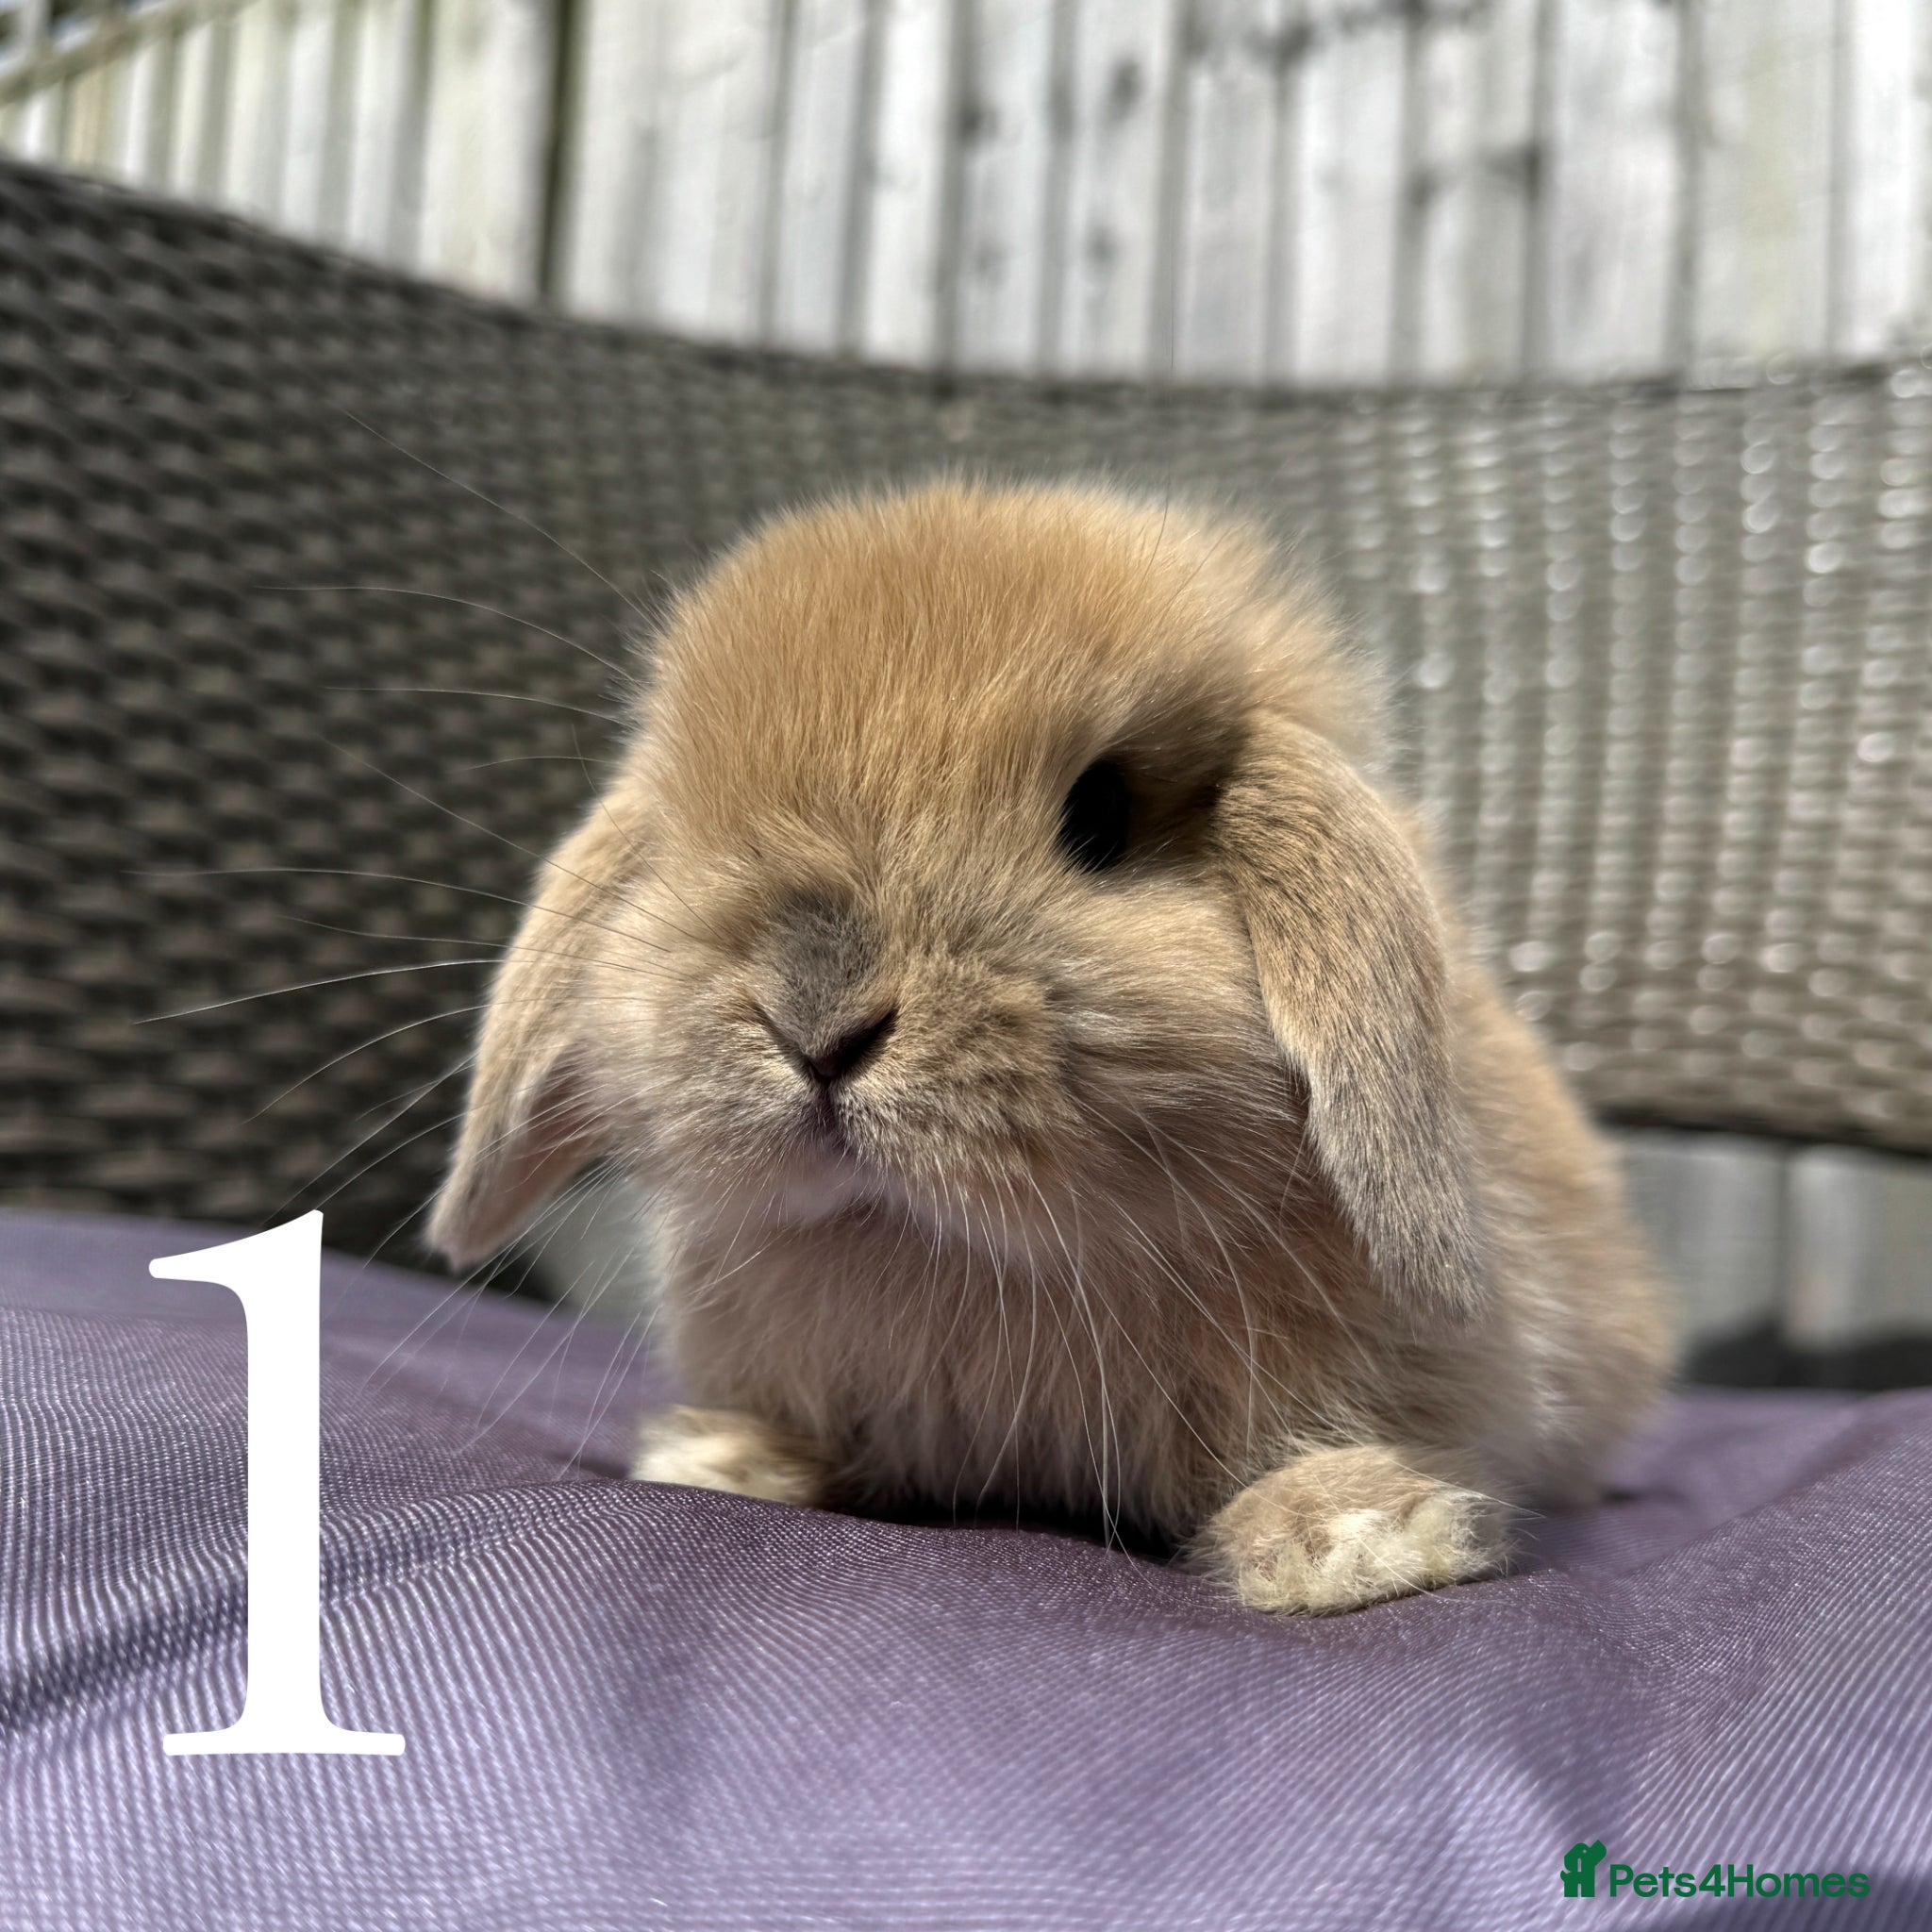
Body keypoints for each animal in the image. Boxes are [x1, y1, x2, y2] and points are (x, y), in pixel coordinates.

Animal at [429, 480, 1672, 1615]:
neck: (960, 1251)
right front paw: (725, 1460)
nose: (815, 1023)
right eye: (686, 828)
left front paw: (1357, 1542)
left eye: (1099, 816)